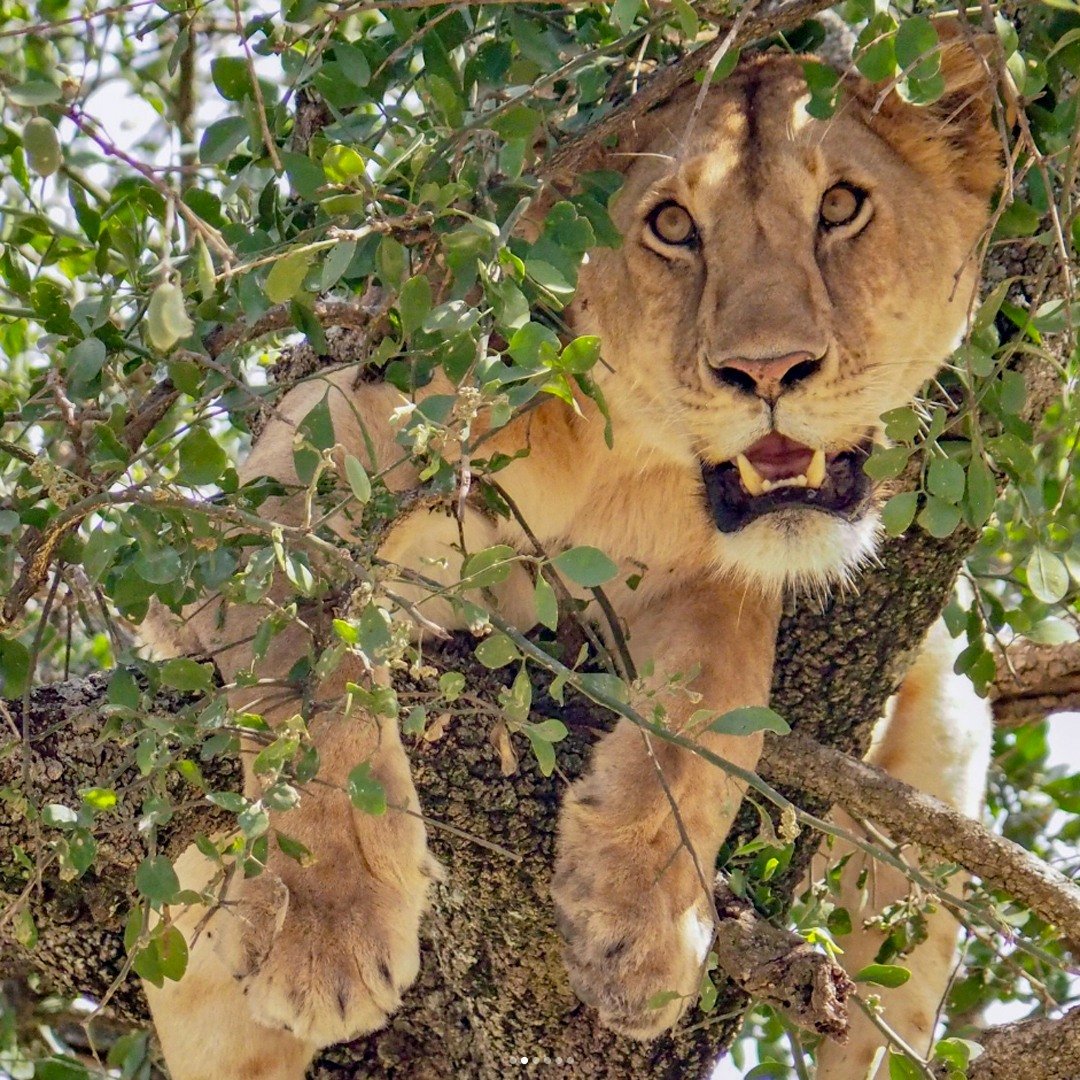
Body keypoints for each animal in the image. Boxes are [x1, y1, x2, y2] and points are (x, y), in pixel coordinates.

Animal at [144, 28, 1000, 1080]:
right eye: (673, 225)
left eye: (841, 208)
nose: (767, 370)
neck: (617, 455)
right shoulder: (305, 469)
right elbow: (321, 669)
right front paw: (327, 930)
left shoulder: (713, 578)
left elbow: (713, 717)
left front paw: (638, 929)